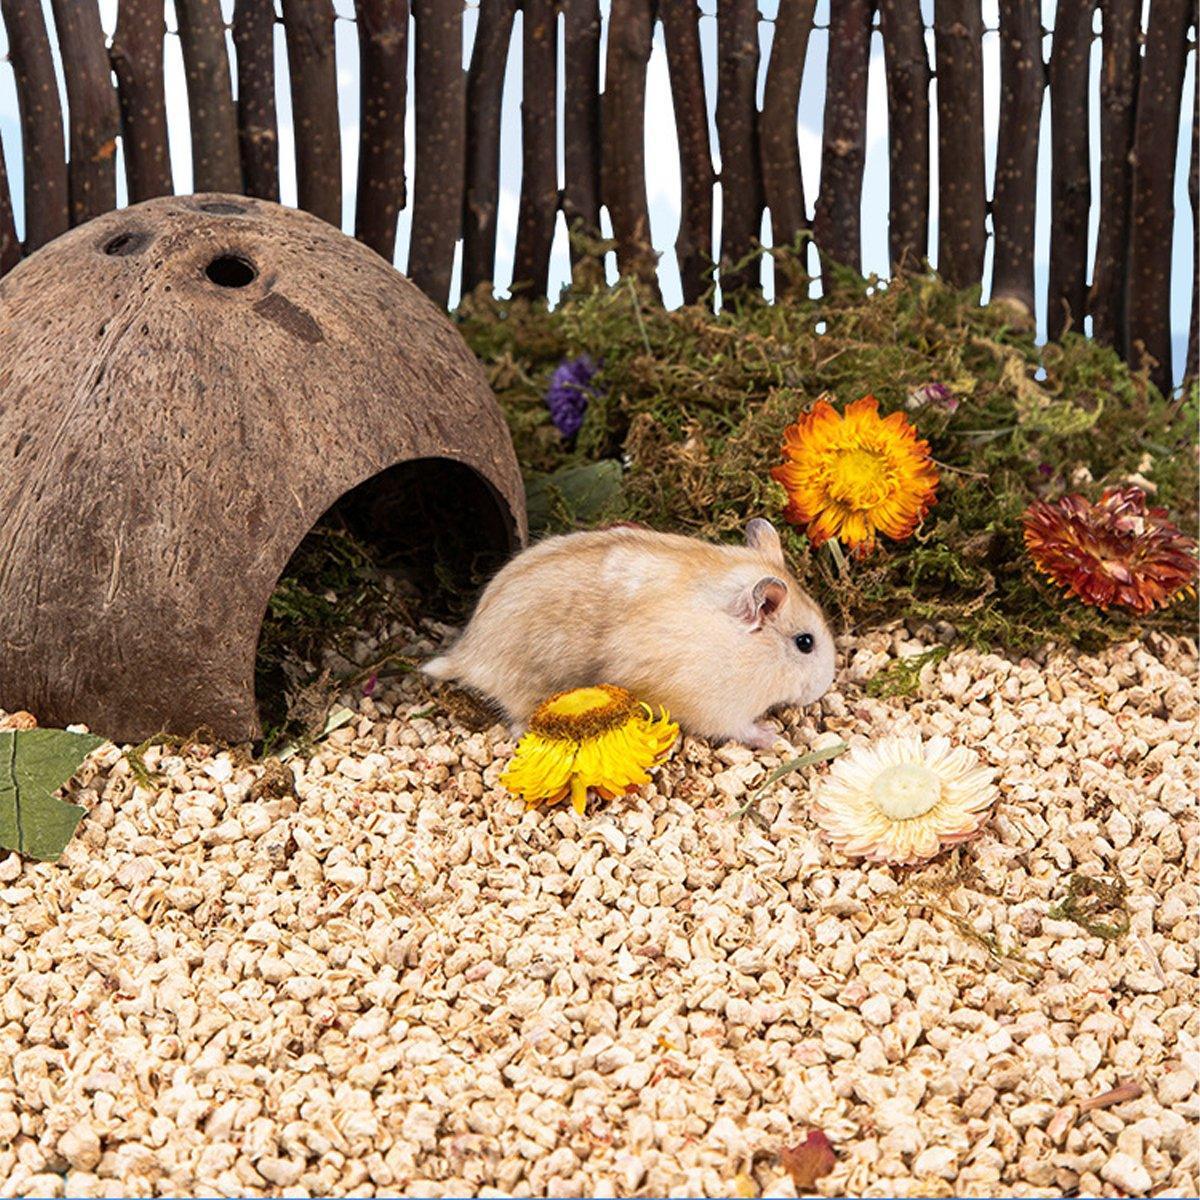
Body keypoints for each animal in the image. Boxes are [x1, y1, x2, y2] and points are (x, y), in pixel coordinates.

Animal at [423, 518, 836, 747]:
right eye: (805, 643)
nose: (825, 686)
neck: (740, 648)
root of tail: (465, 654)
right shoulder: (715, 706)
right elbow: (742, 728)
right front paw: (774, 738)